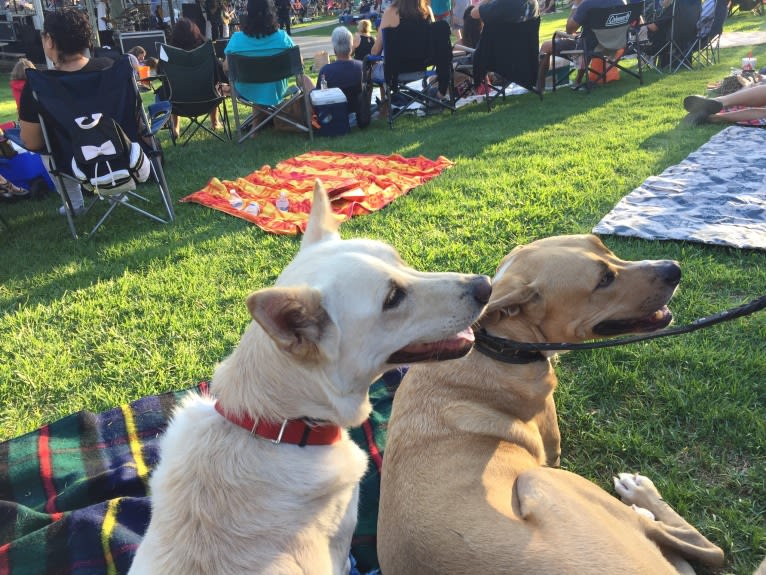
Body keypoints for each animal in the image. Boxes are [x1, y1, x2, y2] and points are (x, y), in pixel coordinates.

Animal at [378, 234, 728, 575]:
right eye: (603, 279)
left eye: (606, 247)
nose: (674, 268)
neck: (499, 344)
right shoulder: (552, 451)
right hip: (543, 480)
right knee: (710, 550)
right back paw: (641, 496)